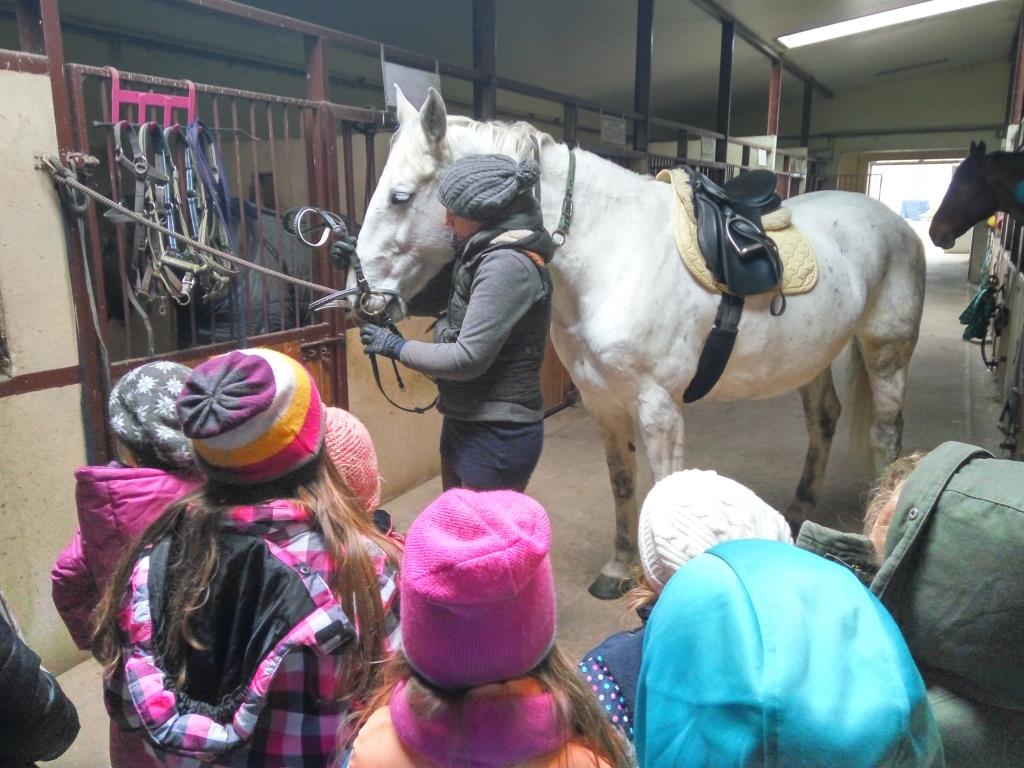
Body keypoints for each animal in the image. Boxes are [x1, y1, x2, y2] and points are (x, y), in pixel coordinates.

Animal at [354, 87, 929, 598]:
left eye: (400, 196)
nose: (363, 297)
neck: (613, 252)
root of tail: (895, 223)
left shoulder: (659, 408)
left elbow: (667, 490)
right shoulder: (603, 403)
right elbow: (623, 484)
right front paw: (619, 568)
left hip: (886, 353)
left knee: (885, 432)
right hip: (813, 360)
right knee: (824, 419)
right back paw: (800, 509)